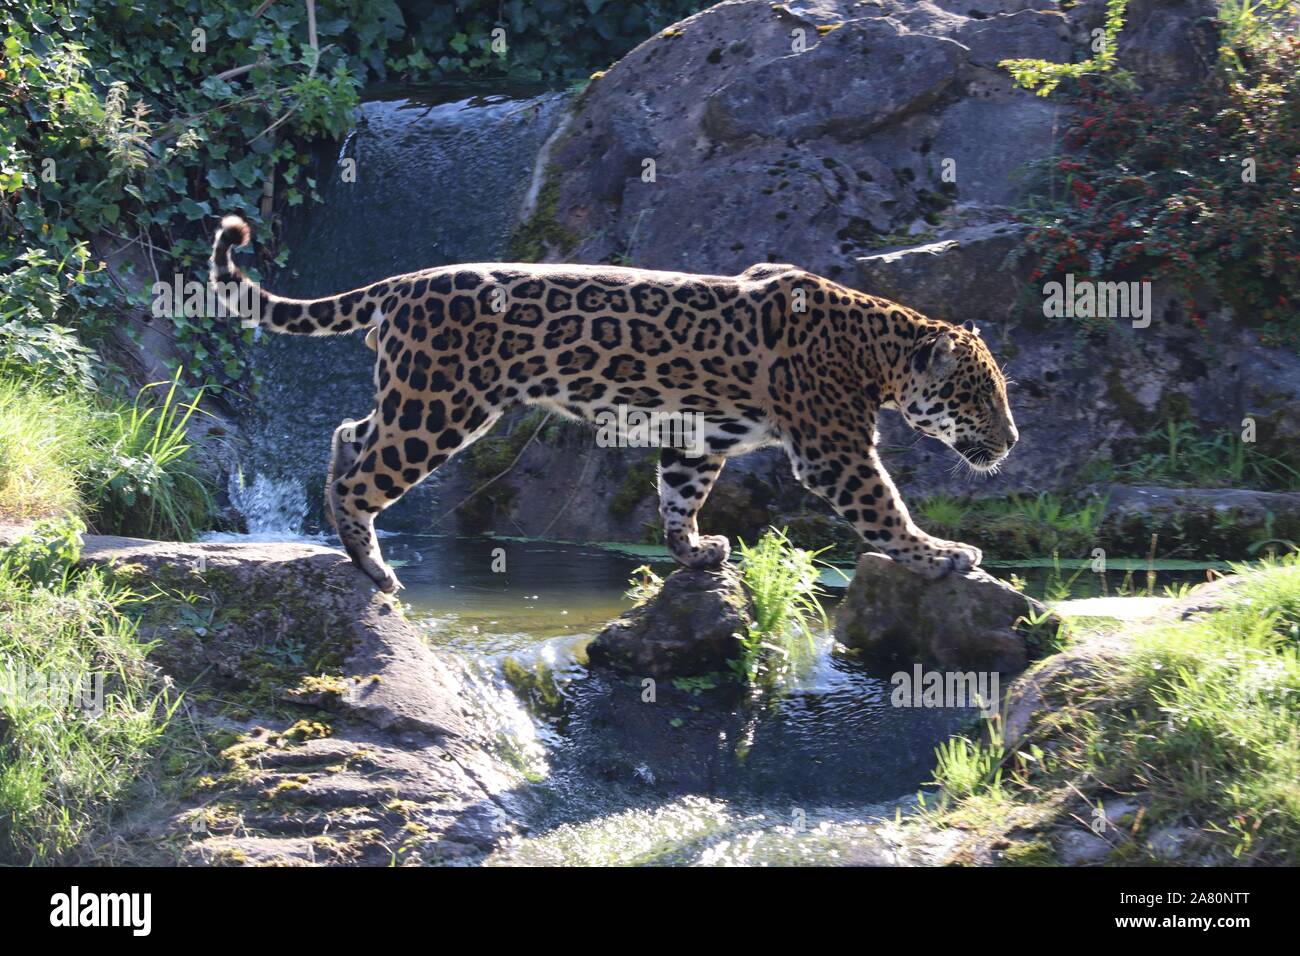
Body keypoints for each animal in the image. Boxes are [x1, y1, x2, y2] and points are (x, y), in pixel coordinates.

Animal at [210, 215, 1018, 593]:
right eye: (982, 394)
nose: (1012, 441)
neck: (879, 348)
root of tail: (403, 282)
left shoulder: (698, 436)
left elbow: (679, 495)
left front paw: (694, 550)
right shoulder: (835, 451)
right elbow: (887, 510)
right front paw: (943, 554)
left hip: (412, 396)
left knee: (349, 432)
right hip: (439, 407)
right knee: (362, 478)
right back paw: (374, 567)